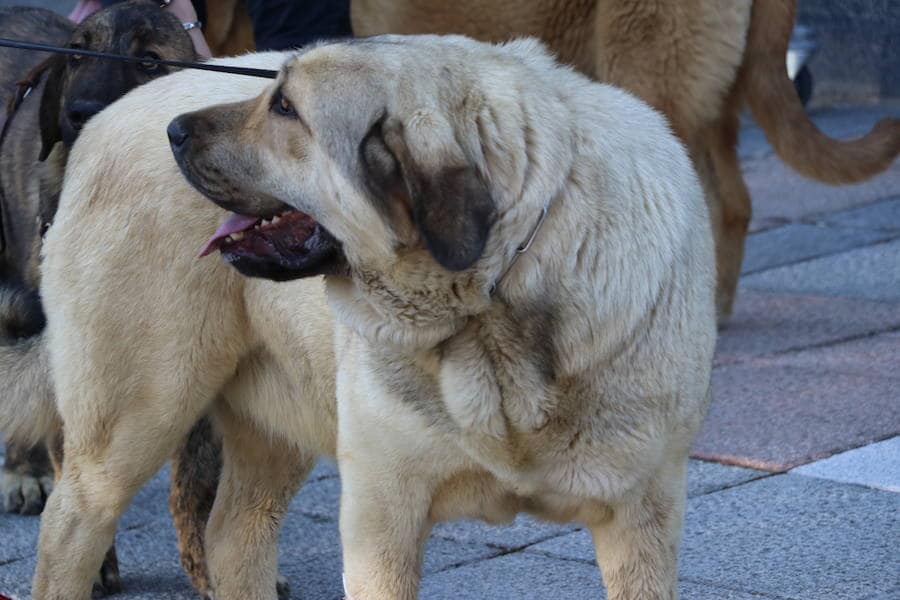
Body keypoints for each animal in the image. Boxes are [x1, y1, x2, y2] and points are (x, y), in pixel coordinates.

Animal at [0, 2, 229, 596]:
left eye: (148, 61)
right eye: (77, 55)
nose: (77, 113)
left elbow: (198, 483)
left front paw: (211, 570)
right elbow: (81, 478)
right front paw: (94, 566)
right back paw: (22, 471)